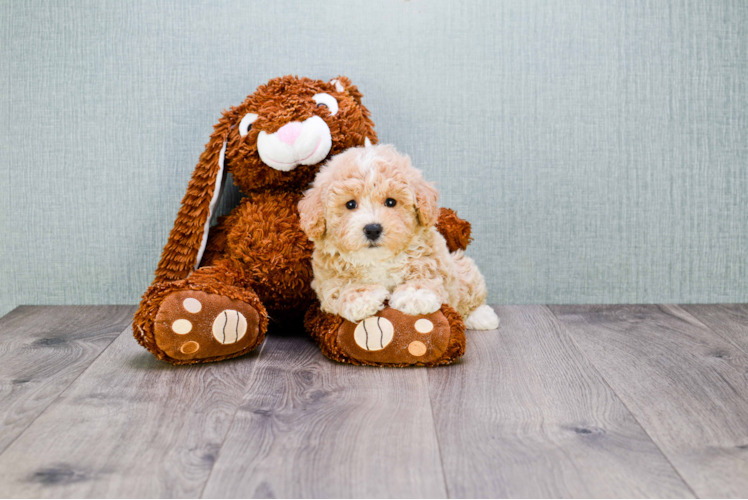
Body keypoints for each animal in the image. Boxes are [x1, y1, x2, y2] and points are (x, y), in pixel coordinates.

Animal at [296, 143, 496, 330]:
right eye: (350, 204)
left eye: (391, 202)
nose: (372, 229)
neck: (377, 260)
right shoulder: (326, 277)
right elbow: (340, 286)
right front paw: (361, 297)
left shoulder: (432, 257)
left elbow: (426, 273)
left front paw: (415, 295)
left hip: (462, 270)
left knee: (470, 291)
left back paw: (482, 316)